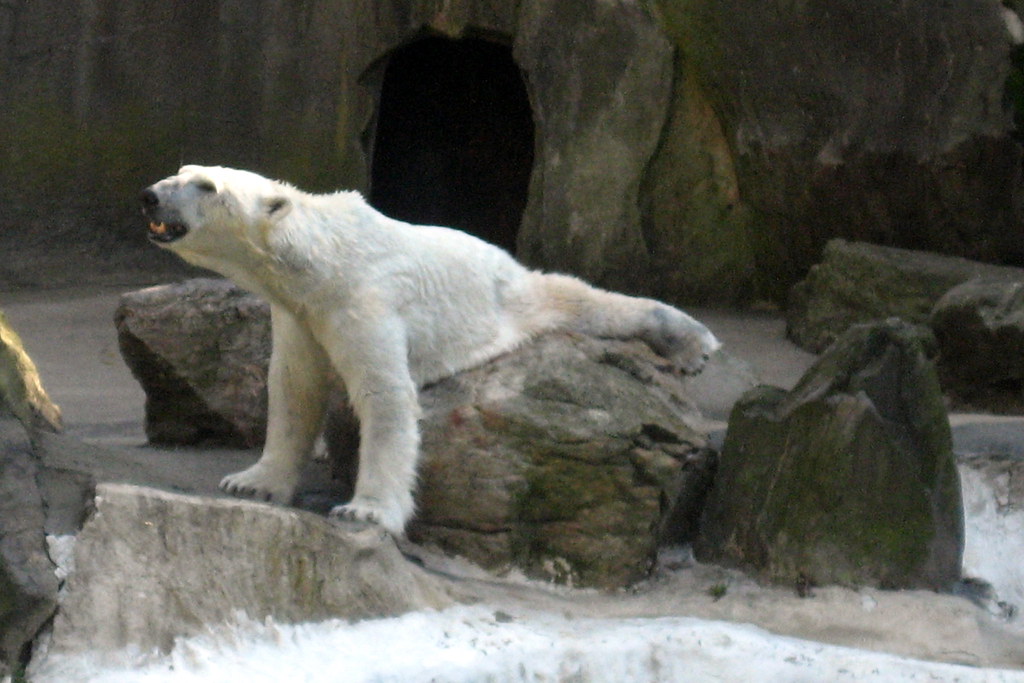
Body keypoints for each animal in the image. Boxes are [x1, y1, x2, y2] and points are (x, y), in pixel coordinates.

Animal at [140, 165, 721, 534]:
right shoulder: (298, 314)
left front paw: (366, 511)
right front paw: (252, 483)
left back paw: (689, 342)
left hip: (507, 299)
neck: (319, 260)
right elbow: (293, 389)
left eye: (205, 185)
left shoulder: (364, 299)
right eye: (180, 169)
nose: (150, 195)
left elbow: (385, 396)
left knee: (576, 298)